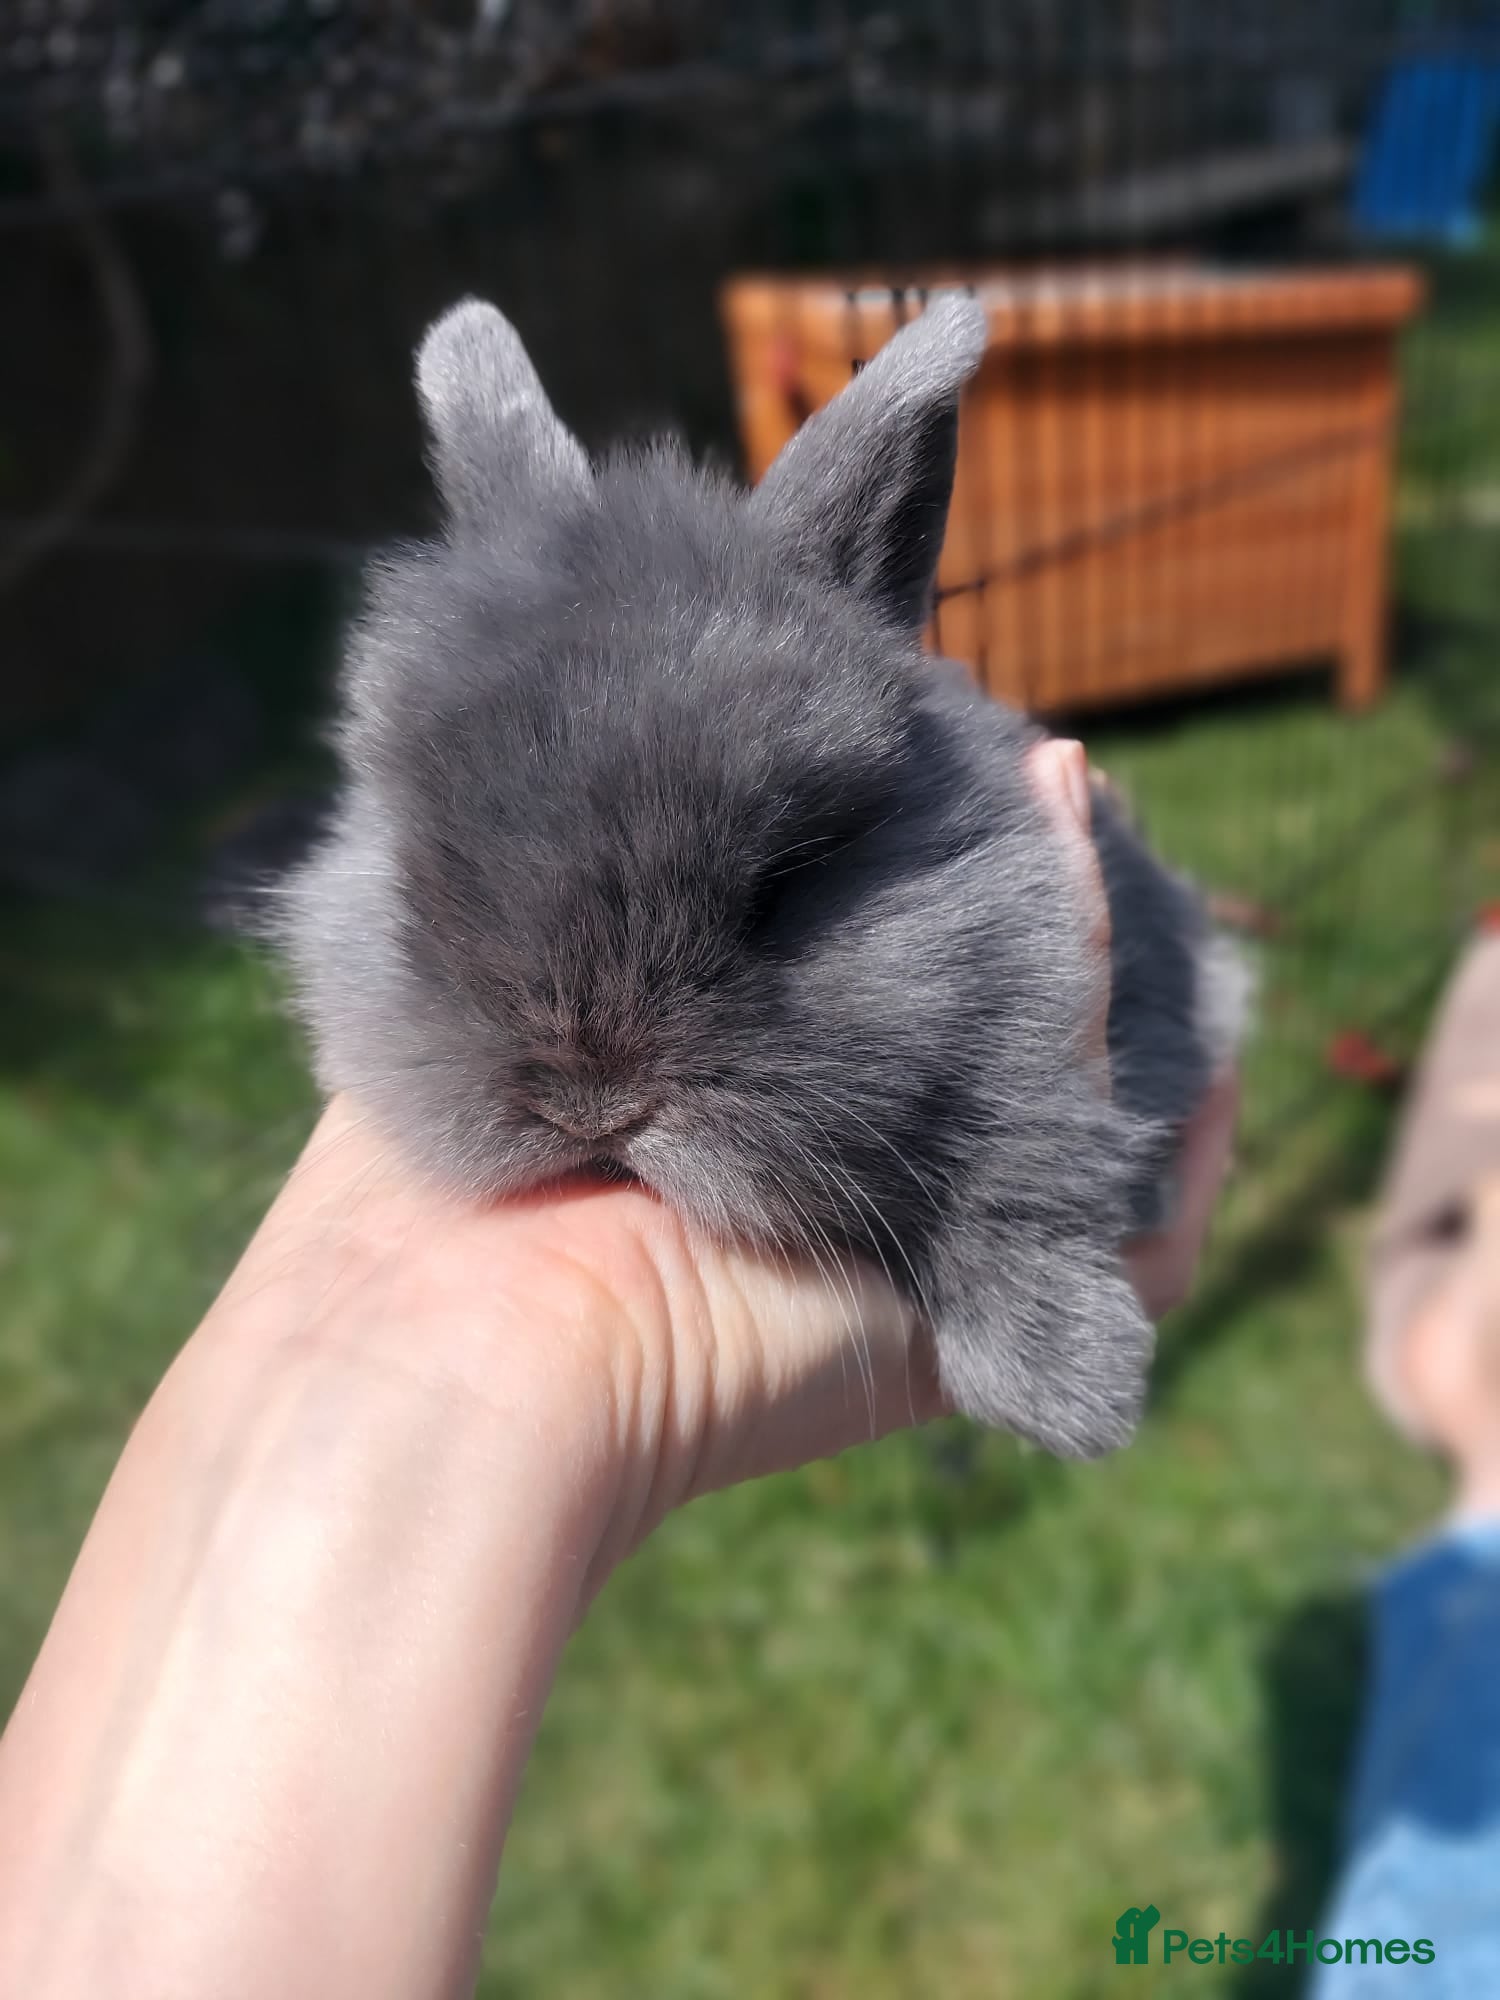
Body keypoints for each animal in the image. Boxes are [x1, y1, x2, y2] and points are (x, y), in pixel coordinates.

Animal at [275, 292, 1245, 1459]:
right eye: (422, 882)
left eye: (783, 885)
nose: (593, 1106)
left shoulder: (1038, 1003)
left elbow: (1021, 1166)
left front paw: (1068, 1388)